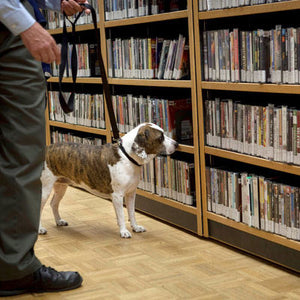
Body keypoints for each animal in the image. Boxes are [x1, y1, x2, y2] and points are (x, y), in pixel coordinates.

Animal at [38, 123, 177, 238]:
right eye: (160, 137)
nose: (176, 144)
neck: (127, 157)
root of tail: (47, 149)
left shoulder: (131, 194)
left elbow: (131, 213)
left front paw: (135, 227)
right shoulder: (117, 196)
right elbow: (121, 215)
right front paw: (124, 231)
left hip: (61, 186)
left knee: (54, 204)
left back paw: (58, 220)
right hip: (45, 189)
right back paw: (40, 229)